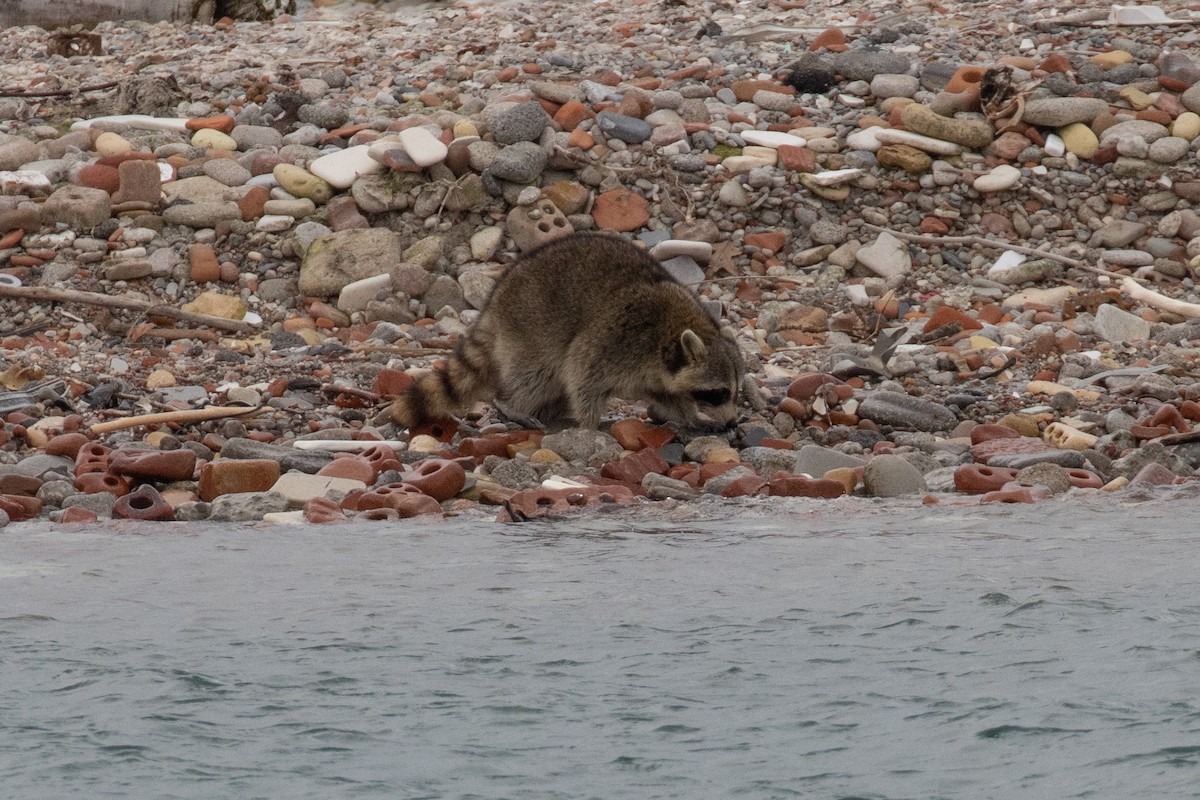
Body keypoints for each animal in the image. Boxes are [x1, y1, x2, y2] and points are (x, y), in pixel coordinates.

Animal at [390, 232, 743, 431]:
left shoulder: (658, 375)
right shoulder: (615, 340)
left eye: (733, 393)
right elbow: (580, 374)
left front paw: (690, 418)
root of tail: (495, 302)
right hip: (530, 327)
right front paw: (590, 425)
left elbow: (668, 397)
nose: (731, 421)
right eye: (718, 393)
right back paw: (511, 403)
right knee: (539, 374)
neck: (669, 336)